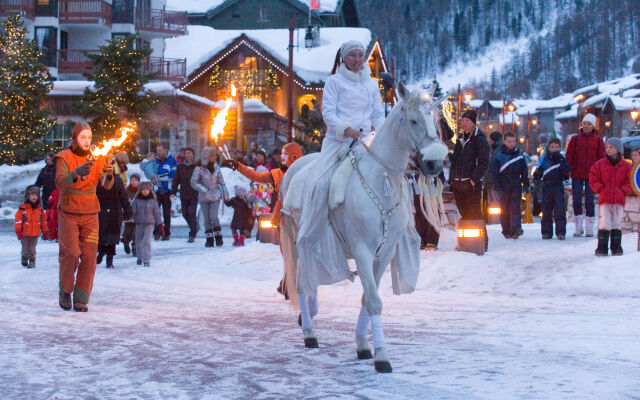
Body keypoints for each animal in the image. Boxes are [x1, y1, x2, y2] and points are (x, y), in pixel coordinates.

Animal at [278, 83, 448, 374]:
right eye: (414, 120)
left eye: (435, 121)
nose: (434, 164)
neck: (379, 181)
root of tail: (294, 167)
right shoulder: (362, 252)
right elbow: (374, 302)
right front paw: (382, 356)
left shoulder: (384, 255)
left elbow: (367, 299)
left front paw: (362, 345)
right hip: (296, 242)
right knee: (301, 282)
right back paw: (309, 333)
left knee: (311, 280)